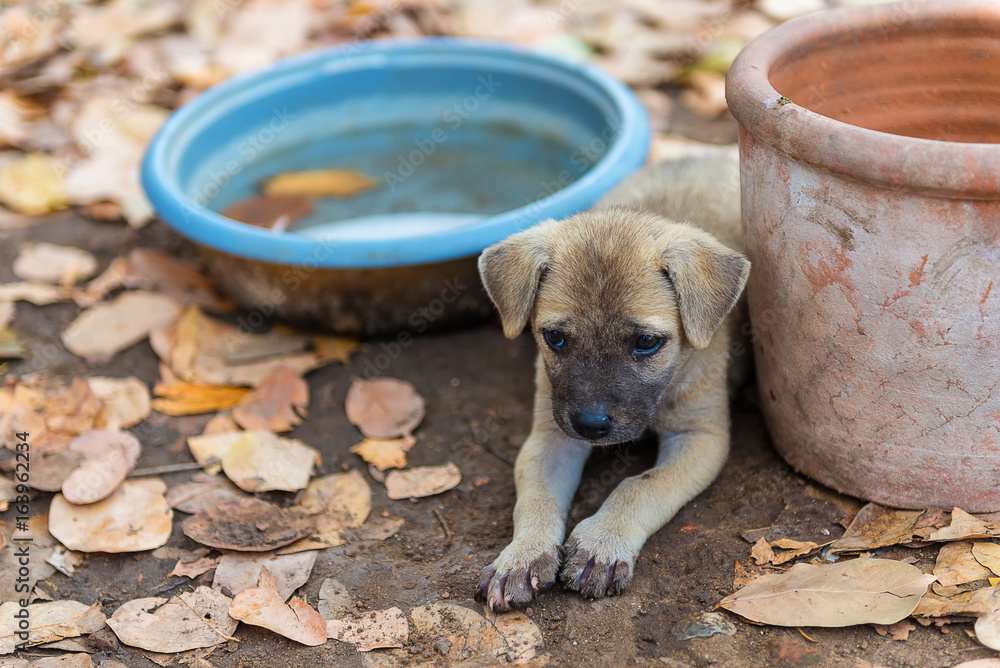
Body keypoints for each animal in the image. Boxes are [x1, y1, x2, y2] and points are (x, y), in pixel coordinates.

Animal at [476, 154, 752, 612]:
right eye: (555, 337)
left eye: (646, 342)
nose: (591, 426)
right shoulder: (551, 436)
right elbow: (536, 498)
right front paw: (523, 555)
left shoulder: (700, 437)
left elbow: (639, 486)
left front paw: (602, 543)